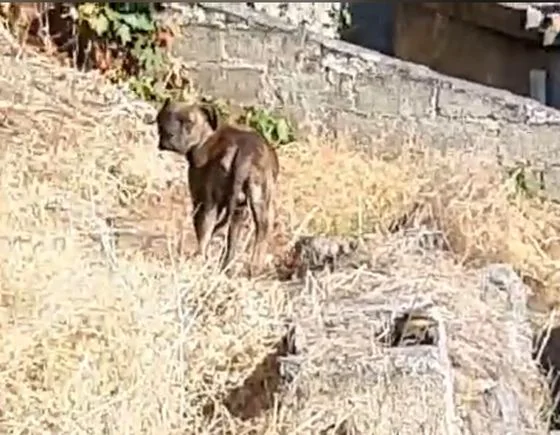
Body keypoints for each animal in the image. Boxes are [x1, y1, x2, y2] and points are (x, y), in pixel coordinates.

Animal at [154, 99, 278, 276]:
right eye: (163, 117)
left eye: (189, 122)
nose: (168, 133)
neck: (207, 135)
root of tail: (245, 153)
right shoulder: (239, 211)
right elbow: (232, 242)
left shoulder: (201, 202)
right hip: (260, 204)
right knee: (261, 232)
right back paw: (253, 269)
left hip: (209, 207)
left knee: (204, 237)